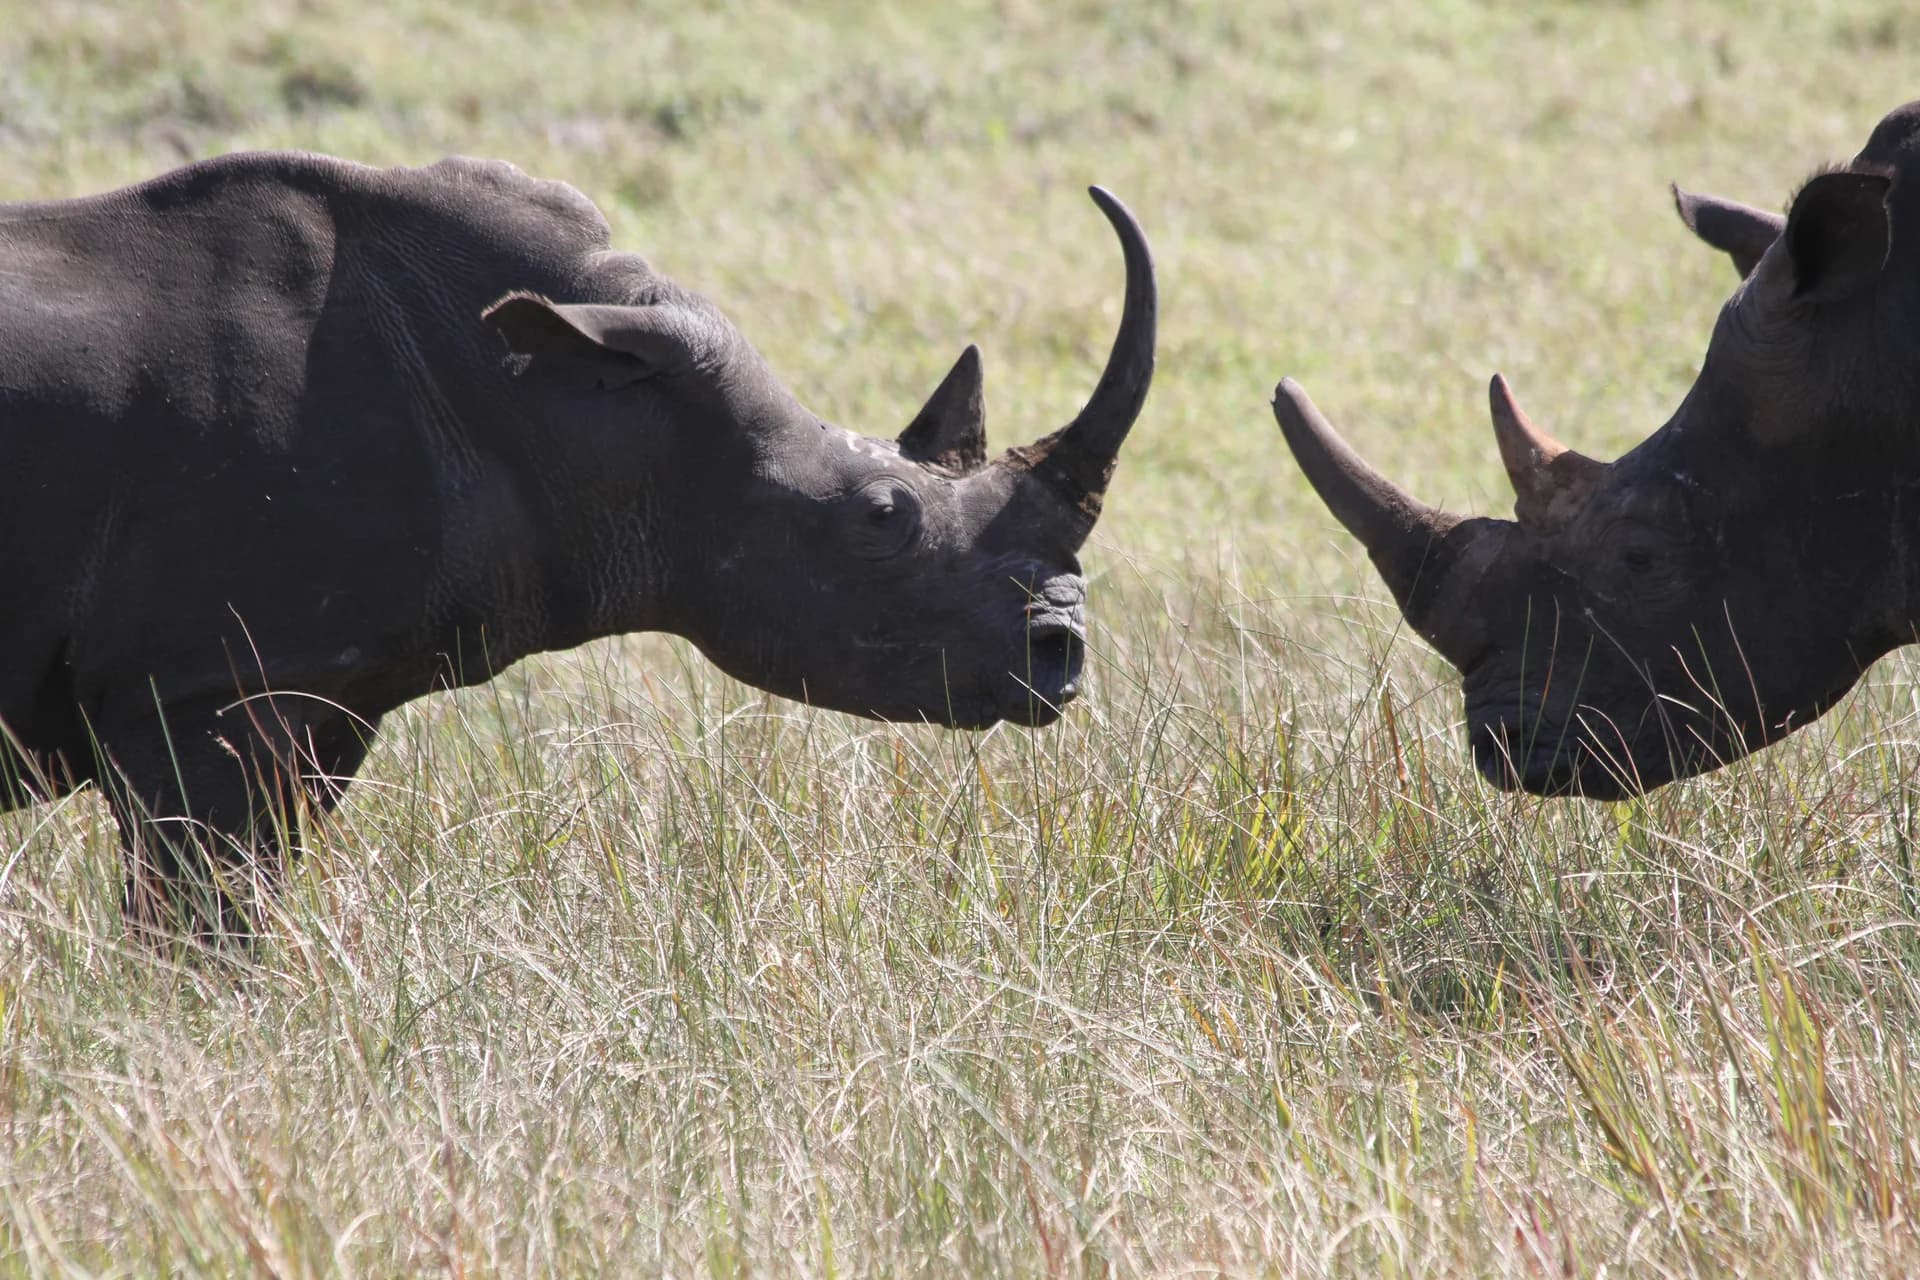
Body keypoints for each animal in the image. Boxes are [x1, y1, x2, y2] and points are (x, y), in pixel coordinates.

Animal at [0, 153, 1155, 936]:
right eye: (883, 516)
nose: (1061, 652)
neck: (581, 411)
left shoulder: (310, 685)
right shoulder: (205, 682)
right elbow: (202, 921)